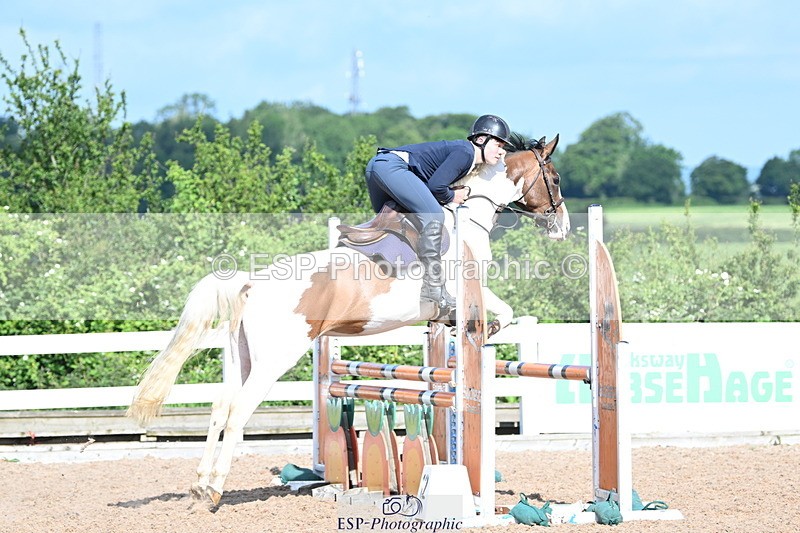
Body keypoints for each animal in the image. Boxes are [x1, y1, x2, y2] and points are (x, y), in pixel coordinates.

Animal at [127, 134, 569, 505]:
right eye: (556, 178)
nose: (563, 227)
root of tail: (251, 283)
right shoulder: (471, 287)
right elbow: (503, 311)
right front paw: (487, 330)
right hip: (274, 360)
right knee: (238, 412)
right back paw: (215, 490)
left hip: (241, 357)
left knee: (219, 408)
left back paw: (200, 484)